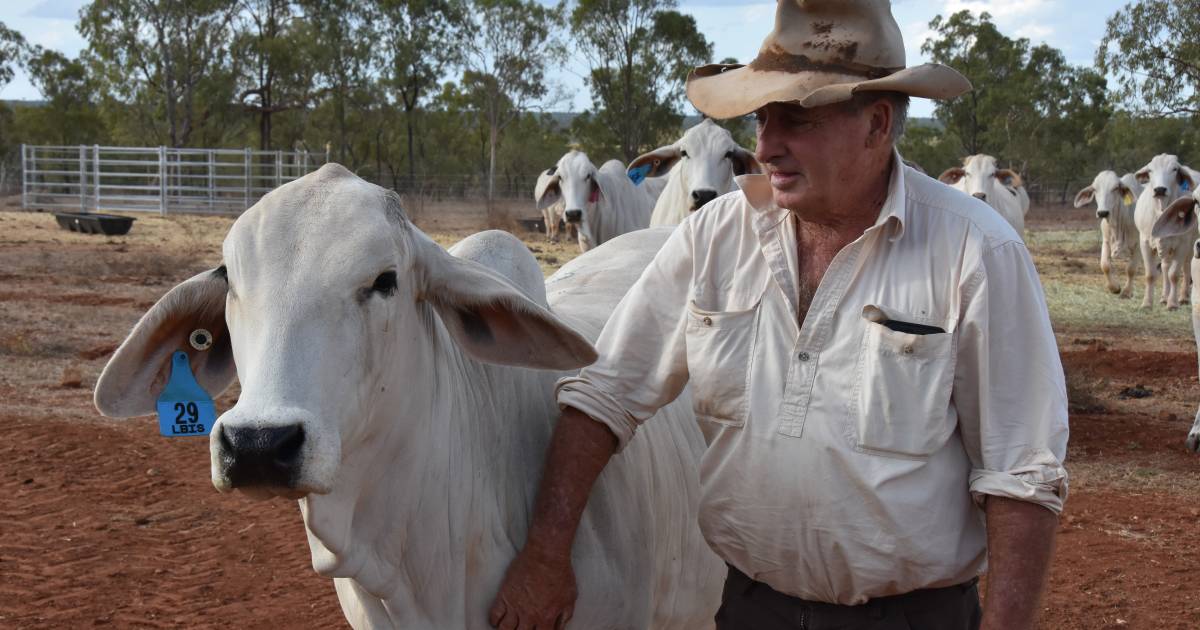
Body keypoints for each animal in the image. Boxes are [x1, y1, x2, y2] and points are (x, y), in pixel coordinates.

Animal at [1080, 169, 1142, 297]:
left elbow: (1131, 269)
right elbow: (1105, 265)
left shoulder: (1138, 245)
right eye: (1095, 189)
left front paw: (1127, 292)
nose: (1102, 212)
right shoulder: (1106, 241)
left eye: (1115, 188)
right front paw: (1114, 288)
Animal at [1128, 153, 1195, 309]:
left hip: (1191, 243)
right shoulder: (1145, 242)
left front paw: (1172, 304)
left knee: (1186, 266)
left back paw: (1183, 297)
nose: (1160, 190)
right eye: (1150, 170)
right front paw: (1147, 303)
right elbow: (1150, 274)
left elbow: (1174, 274)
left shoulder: (1182, 244)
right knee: (1165, 267)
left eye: (1175, 169)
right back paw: (1164, 297)